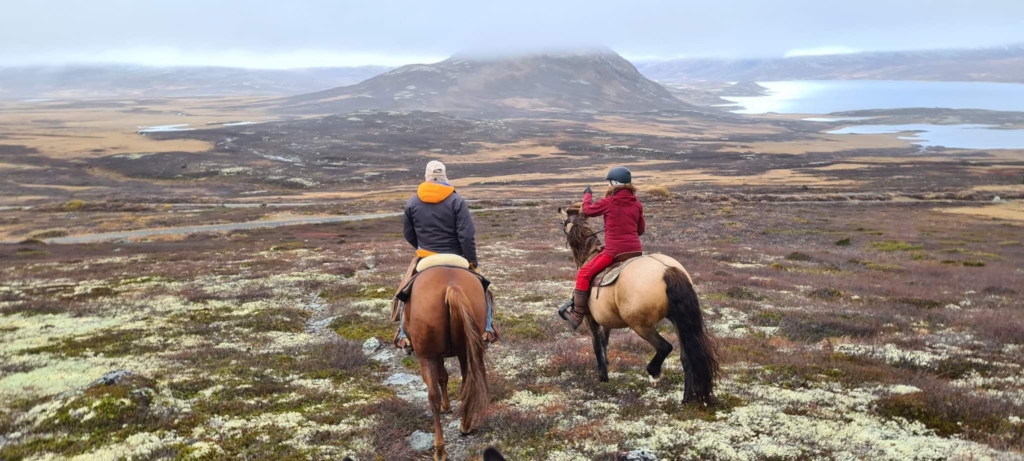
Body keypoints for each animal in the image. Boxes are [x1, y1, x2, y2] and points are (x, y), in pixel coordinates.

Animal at [404, 266, 490, 461]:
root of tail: (452, 285)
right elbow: (445, 377)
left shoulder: (434, 356)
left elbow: (441, 377)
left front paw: (446, 406)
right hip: (466, 352)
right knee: (467, 385)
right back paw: (465, 425)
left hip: (426, 357)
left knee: (432, 396)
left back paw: (440, 450)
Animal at [557, 206, 719, 404]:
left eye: (563, 223)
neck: (589, 255)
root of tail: (668, 270)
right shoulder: (606, 321)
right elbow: (605, 343)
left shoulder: (590, 319)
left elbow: (597, 347)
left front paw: (603, 377)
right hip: (678, 321)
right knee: (687, 358)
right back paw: (686, 399)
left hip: (640, 324)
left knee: (665, 347)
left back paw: (654, 373)